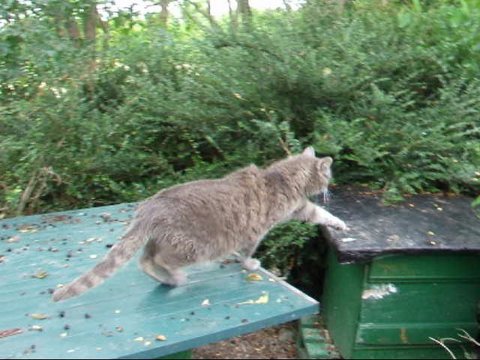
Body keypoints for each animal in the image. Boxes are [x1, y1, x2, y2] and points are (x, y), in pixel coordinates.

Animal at [51, 146, 344, 300]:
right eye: (328, 173)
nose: (331, 185)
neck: (282, 178)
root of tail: (150, 206)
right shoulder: (257, 232)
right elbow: (248, 252)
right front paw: (249, 263)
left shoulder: (300, 208)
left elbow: (320, 214)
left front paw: (339, 223)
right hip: (194, 247)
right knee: (160, 261)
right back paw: (177, 277)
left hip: (159, 241)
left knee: (144, 261)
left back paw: (168, 280)